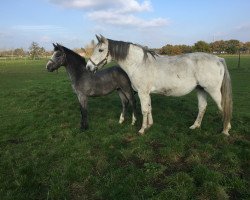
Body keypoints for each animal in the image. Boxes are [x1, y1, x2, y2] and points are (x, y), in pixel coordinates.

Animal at [86, 35, 232, 136]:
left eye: (100, 50)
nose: (88, 67)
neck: (139, 63)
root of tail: (218, 59)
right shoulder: (146, 93)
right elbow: (149, 108)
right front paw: (149, 125)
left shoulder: (142, 92)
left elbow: (144, 110)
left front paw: (142, 129)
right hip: (201, 90)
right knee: (202, 107)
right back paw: (195, 126)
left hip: (213, 91)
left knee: (223, 108)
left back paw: (225, 130)